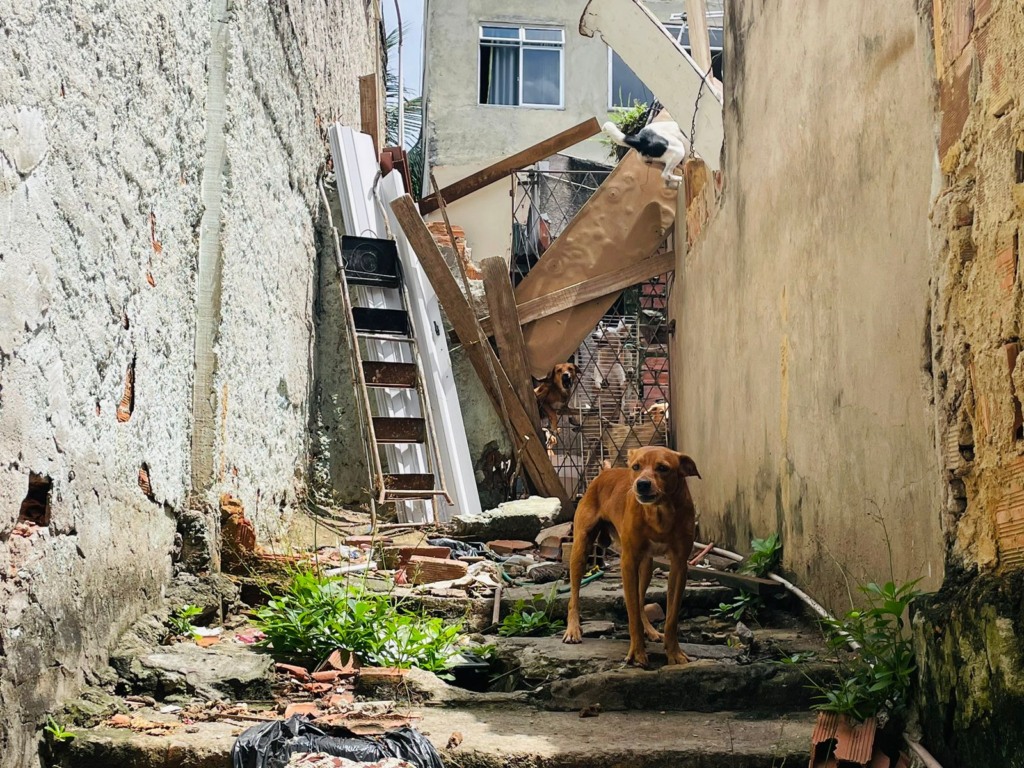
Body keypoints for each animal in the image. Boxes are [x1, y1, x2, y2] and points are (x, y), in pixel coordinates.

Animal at [565, 444, 700, 667]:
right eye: (636, 467)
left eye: (663, 468)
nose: (642, 484)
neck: (659, 512)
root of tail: (603, 473)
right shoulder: (628, 562)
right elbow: (632, 614)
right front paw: (637, 653)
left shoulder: (679, 565)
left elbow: (670, 618)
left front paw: (674, 653)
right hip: (580, 550)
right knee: (574, 596)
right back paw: (573, 629)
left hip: (645, 566)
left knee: (639, 598)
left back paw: (651, 631)